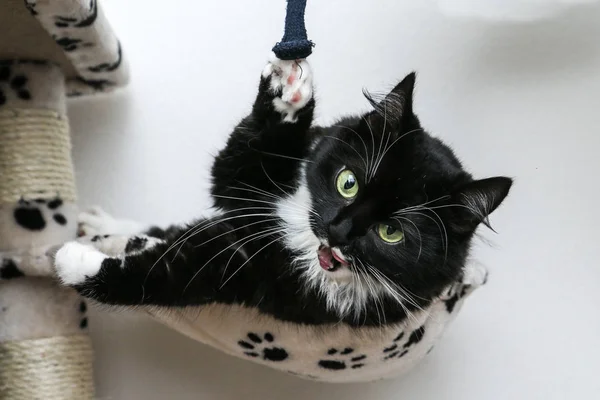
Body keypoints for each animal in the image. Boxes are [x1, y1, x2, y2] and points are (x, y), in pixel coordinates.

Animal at [52, 56, 510, 382]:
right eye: (348, 183)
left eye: (391, 232)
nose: (338, 231)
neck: (300, 241)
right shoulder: (241, 189)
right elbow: (234, 163)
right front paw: (290, 89)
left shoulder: (258, 275)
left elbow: (173, 273)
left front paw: (78, 263)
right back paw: (103, 225)